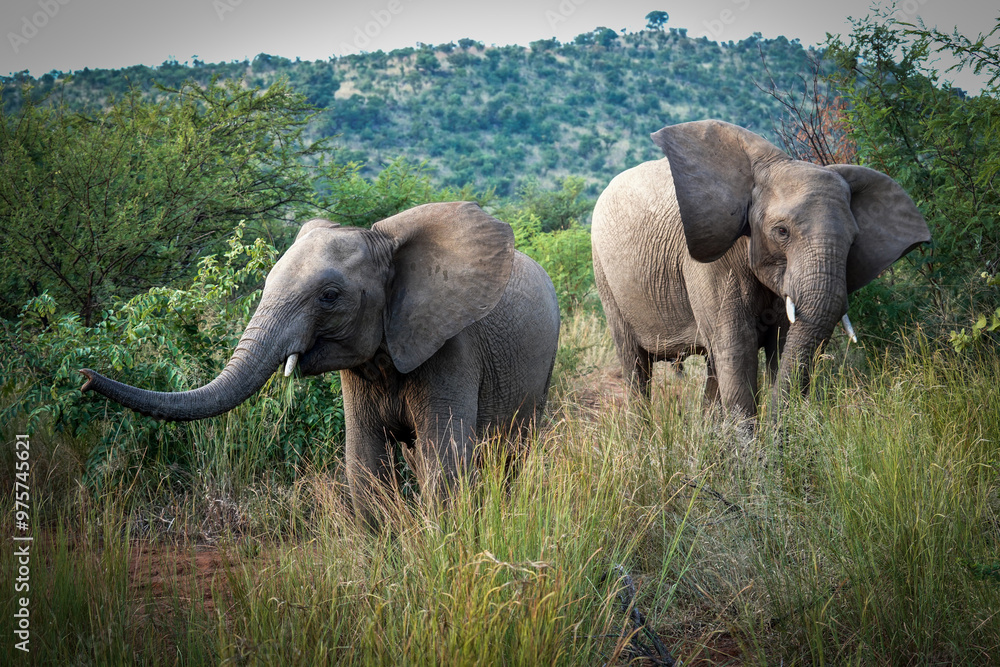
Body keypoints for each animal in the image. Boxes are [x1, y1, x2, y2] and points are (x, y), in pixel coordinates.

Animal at [81, 202, 560, 524]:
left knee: (512, 450)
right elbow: (364, 464)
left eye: (329, 296)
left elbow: (442, 463)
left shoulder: (451, 345)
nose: (83, 379)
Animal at [591, 119, 930, 421]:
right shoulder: (712, 264)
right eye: (781, 232)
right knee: (635, 366)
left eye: (853, 241)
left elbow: (783, 345)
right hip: (604, 274)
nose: (777, 431)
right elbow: (738, 349)